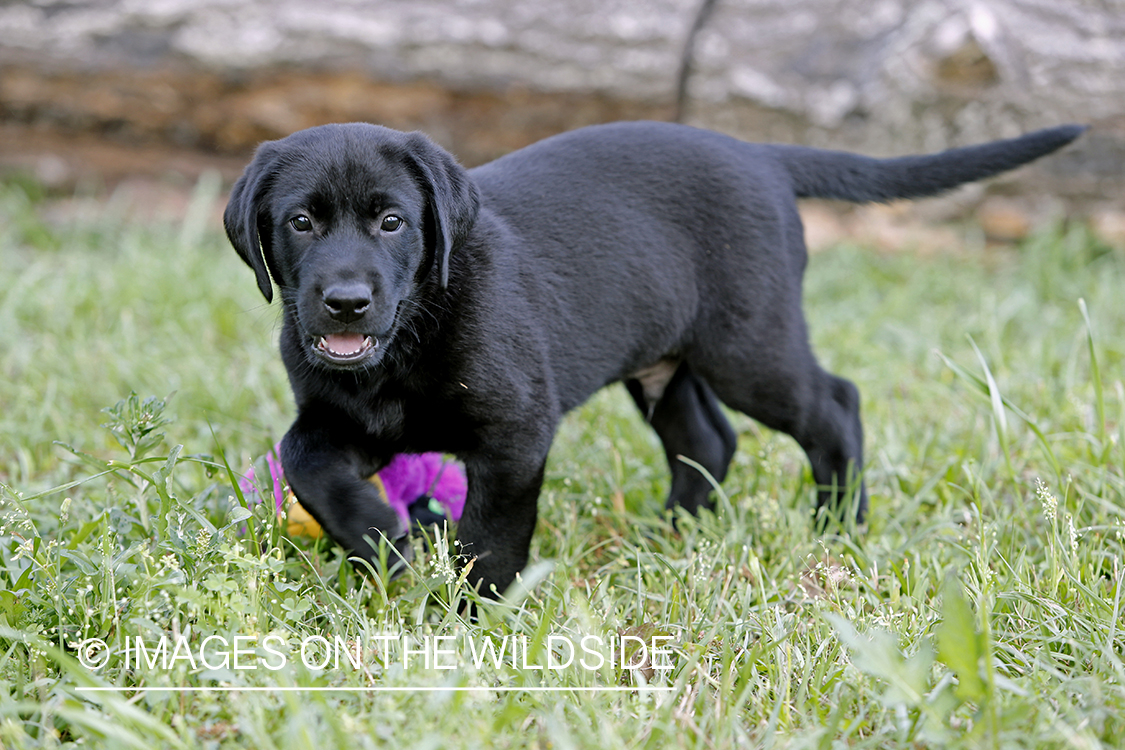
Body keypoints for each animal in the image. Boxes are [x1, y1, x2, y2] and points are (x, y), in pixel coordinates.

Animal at [223, 120, 1084, 593]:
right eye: (300, 221)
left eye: (392, 222)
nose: (344, 301)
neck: (404, 341)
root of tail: (760, 155)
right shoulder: (340, 416)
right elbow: (303, 459)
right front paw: (378, 535)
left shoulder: (515, 432)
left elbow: (493, 531)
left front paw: (476, 612)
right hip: (662, 361)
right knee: (705, 438)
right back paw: (673, 535)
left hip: (748, 346)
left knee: (834, 402)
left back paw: (837, 522)